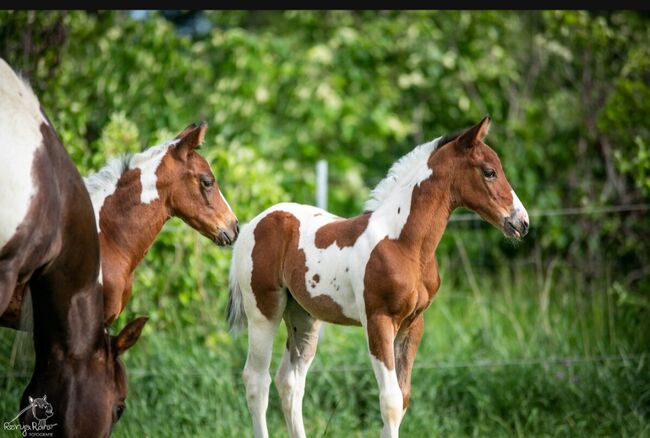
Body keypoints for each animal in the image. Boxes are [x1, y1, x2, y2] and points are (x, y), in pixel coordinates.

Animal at [227, 116, 528, 438]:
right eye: (489, 172)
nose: (522, 222)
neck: (403, 243)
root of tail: (252, 224)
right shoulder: (378, 321)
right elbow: (390, 401)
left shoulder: (413, 324)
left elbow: (402, 397)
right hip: (264, 312)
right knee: (257, 381)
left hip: (303, 316)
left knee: (290, 382)